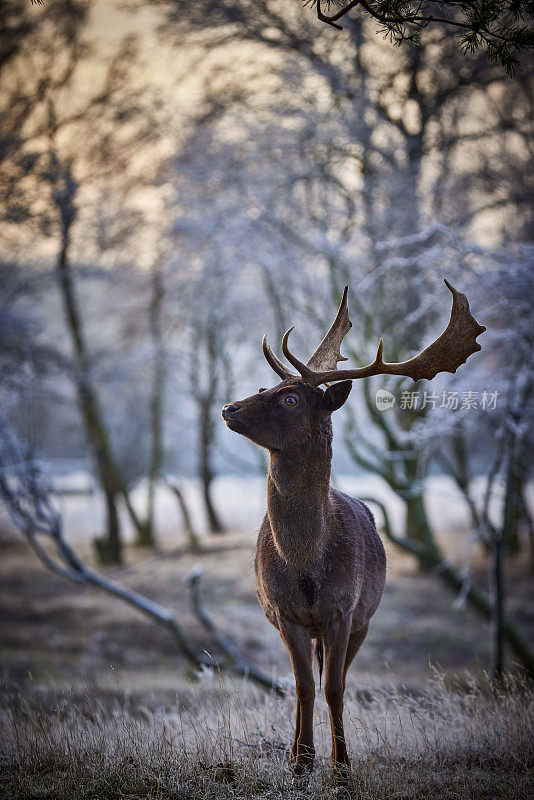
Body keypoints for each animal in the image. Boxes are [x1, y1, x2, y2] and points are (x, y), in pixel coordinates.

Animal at [221, 282, 486, 780]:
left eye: (291, 399)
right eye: (268, 386)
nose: (229, 407)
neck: (306, 564)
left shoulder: (343, 610)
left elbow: (334, 687)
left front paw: (341, 767)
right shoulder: (284, 613)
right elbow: (303, 687)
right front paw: (301, 763)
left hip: (364, 618)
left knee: (335, 676)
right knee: (303, 680)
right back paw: (295, 753)